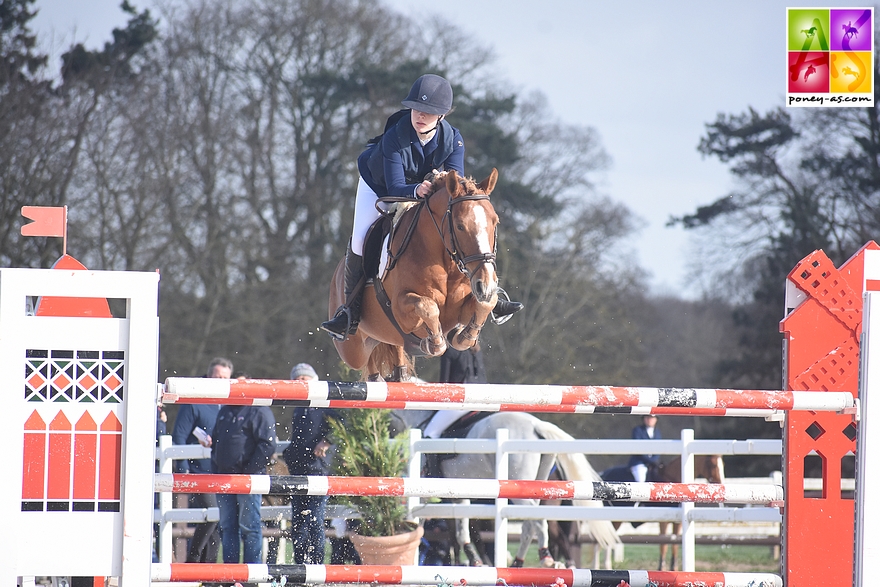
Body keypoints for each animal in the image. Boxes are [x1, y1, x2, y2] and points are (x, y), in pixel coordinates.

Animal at [328, 170, 502, 382]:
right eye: (460, 226)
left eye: (495, 222)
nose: (486, 286)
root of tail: (338, 273)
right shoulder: (401, 308)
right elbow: (428, 307)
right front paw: (434, 343)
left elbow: (487, 303)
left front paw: (463, 336)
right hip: (353, 350)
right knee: (366, 359)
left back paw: (399, 374)